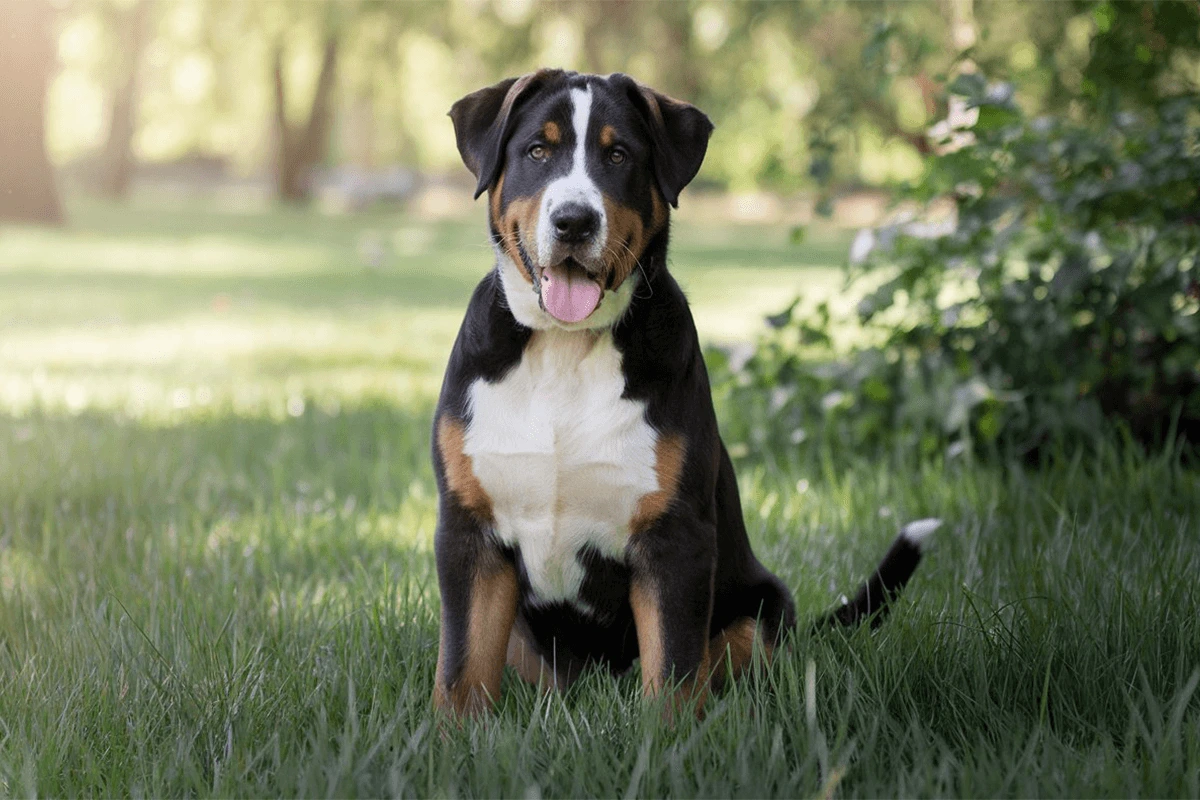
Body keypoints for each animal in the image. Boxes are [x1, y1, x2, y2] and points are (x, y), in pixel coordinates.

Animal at [432, 70, 936, 719]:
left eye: (618, 155)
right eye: (538, 151)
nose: (574, 221)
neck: (565, 351)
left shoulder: (676, 537)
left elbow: (672, 668)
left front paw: (663, 738)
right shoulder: (468, 530)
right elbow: (462, 668)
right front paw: (454, 738)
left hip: (758, 611)